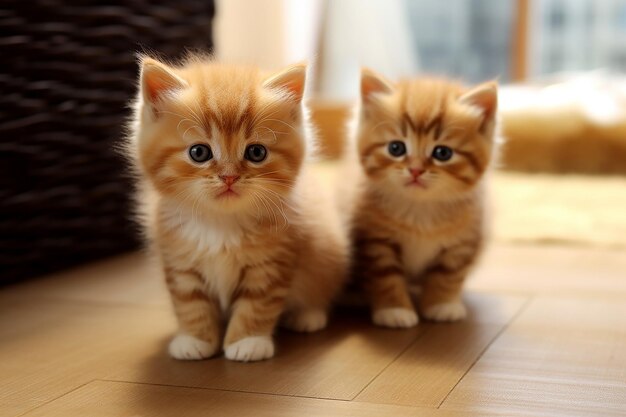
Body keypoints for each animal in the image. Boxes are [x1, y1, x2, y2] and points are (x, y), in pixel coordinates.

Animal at [126, 56, 346, 360]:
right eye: (199, 152)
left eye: (256, 152)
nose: (229, 177)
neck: (221, 222)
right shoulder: (179, 260)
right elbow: (189, 302)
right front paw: (195, 339)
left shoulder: (272, 263)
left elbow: (258, 303)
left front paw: (248, 341)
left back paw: (308, 315)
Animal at [348, 69, 494, 328]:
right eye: (396, 148)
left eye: (442, 153)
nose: (415, 170)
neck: (420, 208)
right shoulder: (375, 241)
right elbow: (385, 276)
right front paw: (394, 310)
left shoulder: (463, 242)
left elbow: (448, 274)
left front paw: (442, 304)